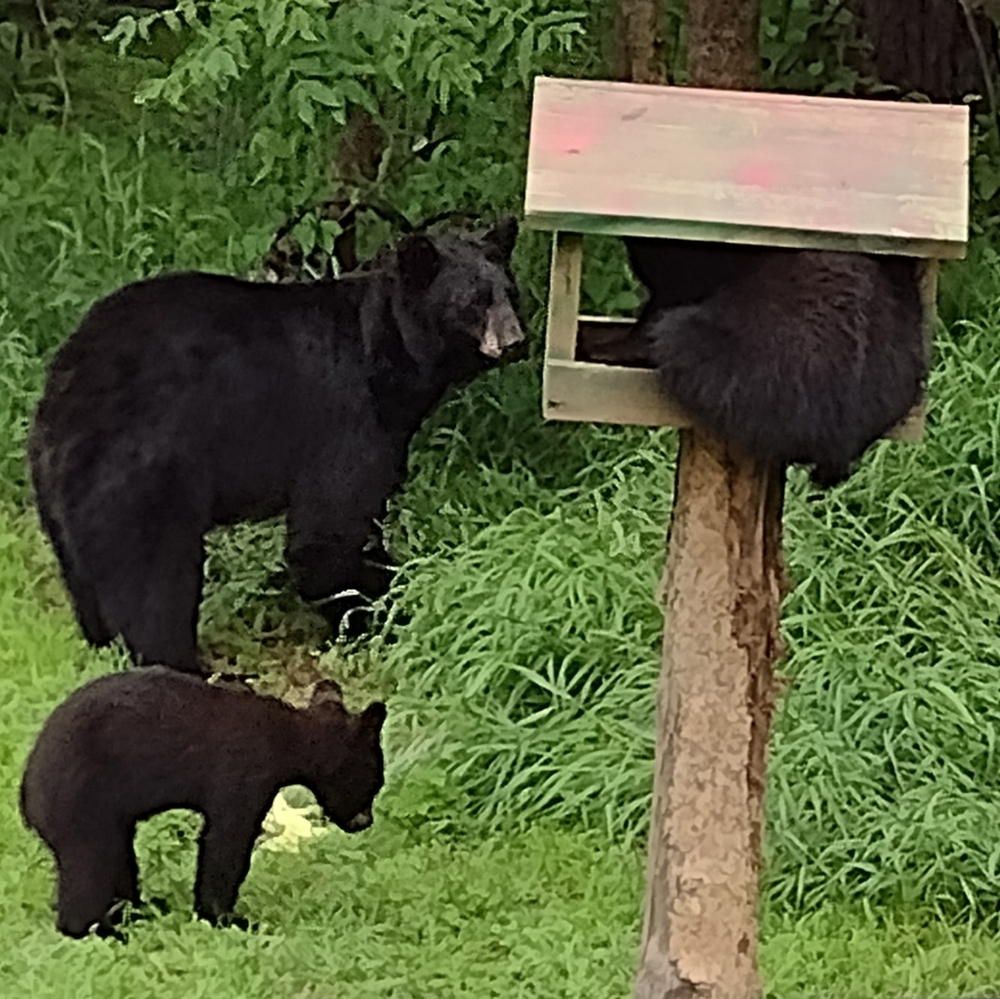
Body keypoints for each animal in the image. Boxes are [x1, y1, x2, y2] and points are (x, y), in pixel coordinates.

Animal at [20, 668, 387, 938]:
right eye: (376, 781)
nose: (365, 822)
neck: (289, 739)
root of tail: (26, 794)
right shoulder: (242, 777)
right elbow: (225, 845)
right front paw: (226, 918)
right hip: (81, 808)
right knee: (89, 871)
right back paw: (105, 931)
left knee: (119, 863)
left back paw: (141, 911)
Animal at [29, 218, 523, 674]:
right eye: (473, 300)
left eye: (510, 292)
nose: (516, 341)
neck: (388, 356)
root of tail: (67, 386)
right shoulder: (346, 418)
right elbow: (330, 531)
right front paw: (379, 612)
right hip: (146, 465)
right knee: (152, 578)